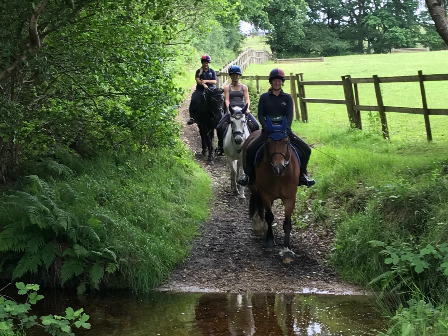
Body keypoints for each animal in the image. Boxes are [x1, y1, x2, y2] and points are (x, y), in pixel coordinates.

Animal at [242, 117, 300, 264]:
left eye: (286, 141)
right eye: (268, 142)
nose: (279, 167)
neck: (280, 176)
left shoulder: (290, 198)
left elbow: (287, 223)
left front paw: (287, 250)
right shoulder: (266, 195)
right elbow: (269, 216)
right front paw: (269, 240)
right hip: (254, 187)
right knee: (256, 199)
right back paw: (258, 226)